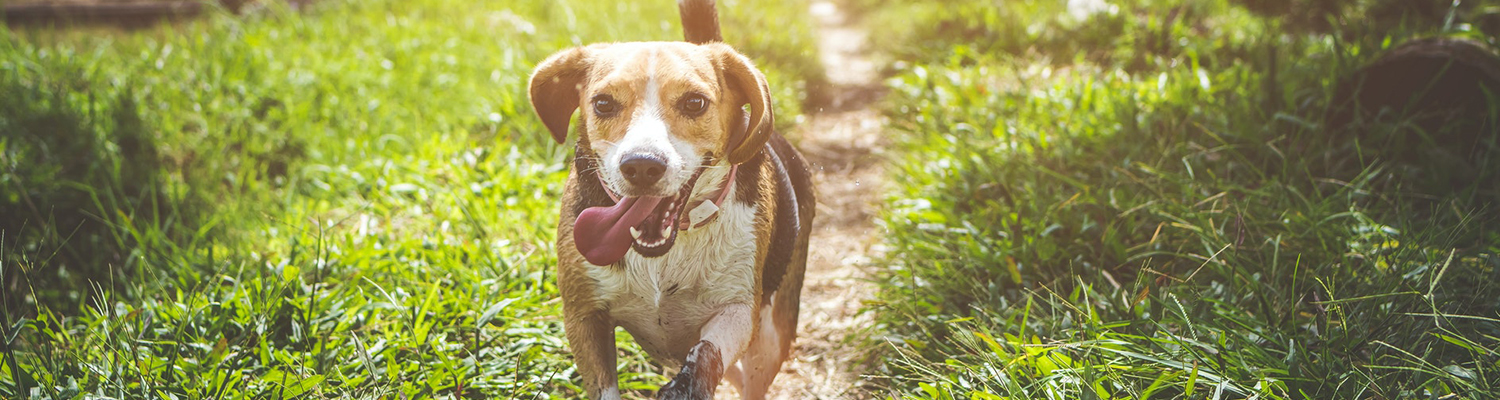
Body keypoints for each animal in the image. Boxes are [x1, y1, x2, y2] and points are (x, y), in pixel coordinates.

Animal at [525, 0, 816, 400]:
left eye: (694, 102)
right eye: (603, 103)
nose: (642, 165)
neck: (667, 252)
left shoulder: (739, 307)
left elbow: (708, 352)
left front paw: (686, 386)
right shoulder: (583, 316)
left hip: (771, 338)